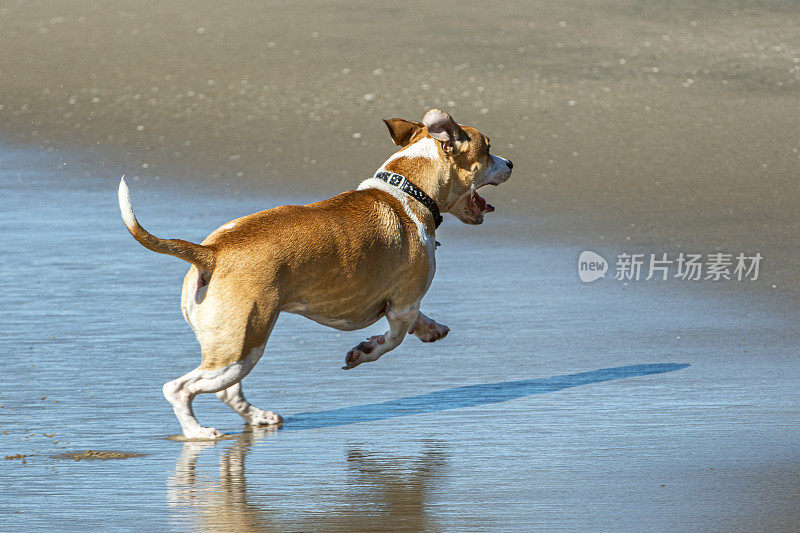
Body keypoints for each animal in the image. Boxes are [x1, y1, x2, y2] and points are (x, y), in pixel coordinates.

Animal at [117, 108, 512, 436]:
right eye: (488, 148)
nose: (510, 162)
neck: (408, 191)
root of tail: (211, 252)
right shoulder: (402, 305)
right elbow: (392, 340)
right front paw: (364, 350)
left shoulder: (406, 305)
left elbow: (419, 321)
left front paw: (432, 329)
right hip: (242, 346)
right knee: (179, 389)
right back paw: (198, 433)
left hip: (232, 348)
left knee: (227, 393)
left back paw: (259, 417)